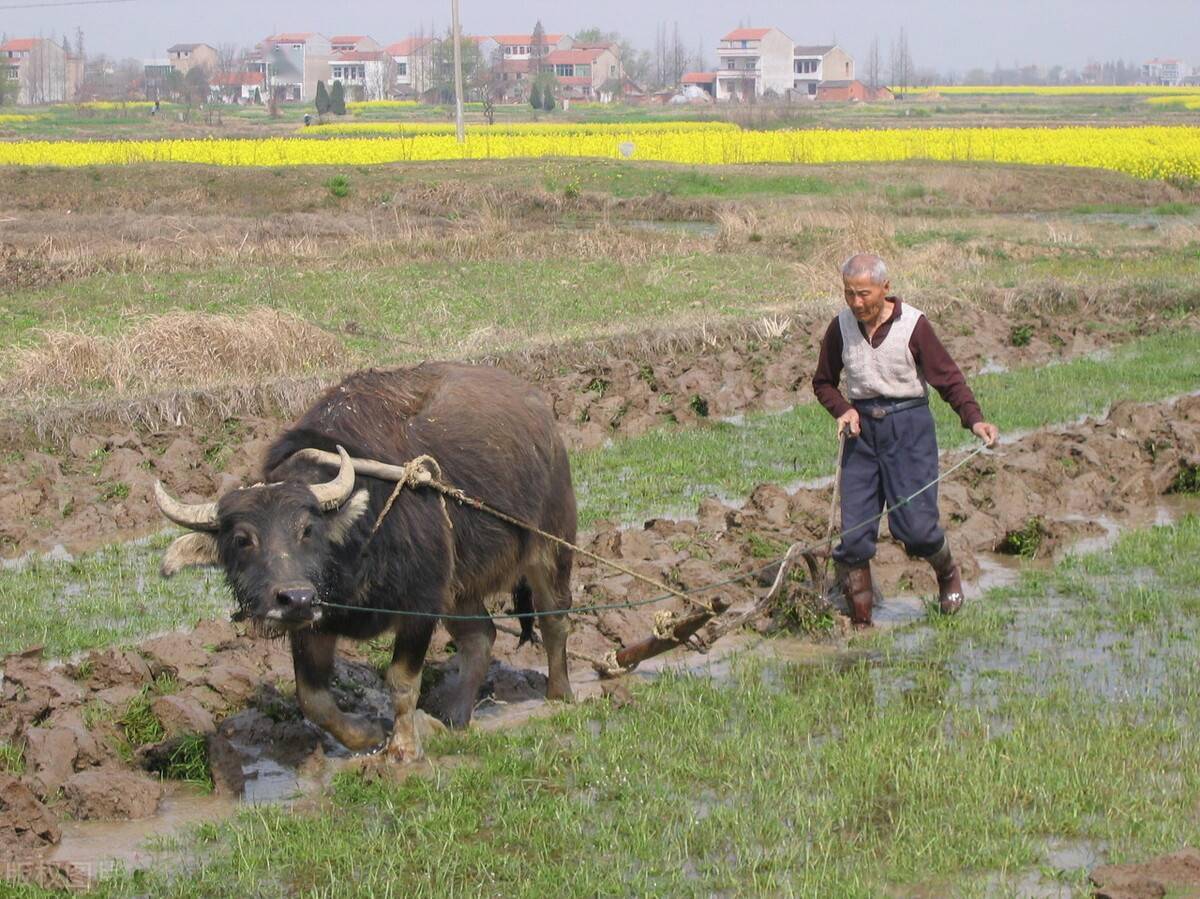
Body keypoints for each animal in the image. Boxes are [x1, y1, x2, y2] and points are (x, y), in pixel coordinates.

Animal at [153, 360, 576, 763]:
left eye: (308, 530)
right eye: (242, 540)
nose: (295, 598)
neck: (355, 552)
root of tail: (542, 415)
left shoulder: (420, 604)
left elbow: (402, 681)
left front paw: (403, 748)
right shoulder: (314, 624)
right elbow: (313, 699)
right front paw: (368, 736)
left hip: (553, 546)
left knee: (554, 619)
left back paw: (559, 695)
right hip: (457, 588)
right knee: (481, 637)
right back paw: (455, 716)